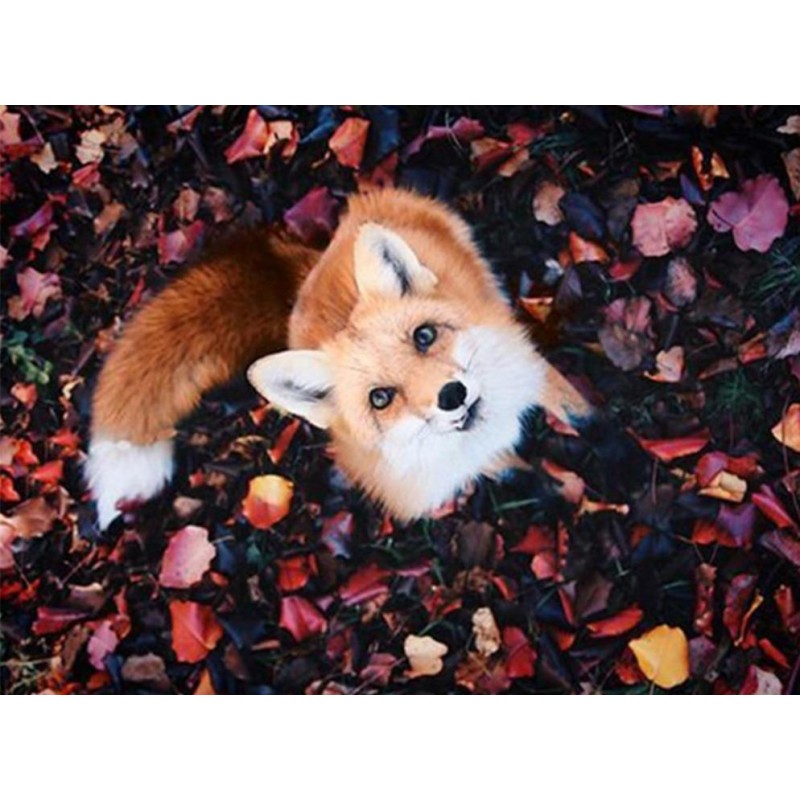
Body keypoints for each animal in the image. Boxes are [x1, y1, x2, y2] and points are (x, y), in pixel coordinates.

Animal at [87, 187, 593, 528]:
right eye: (380, 398)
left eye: (424, 336)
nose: (452, 395)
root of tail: (313, 266)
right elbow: (511, 469)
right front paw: (545, 488)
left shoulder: (535, 371)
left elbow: (576, 408)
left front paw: (597, 436)